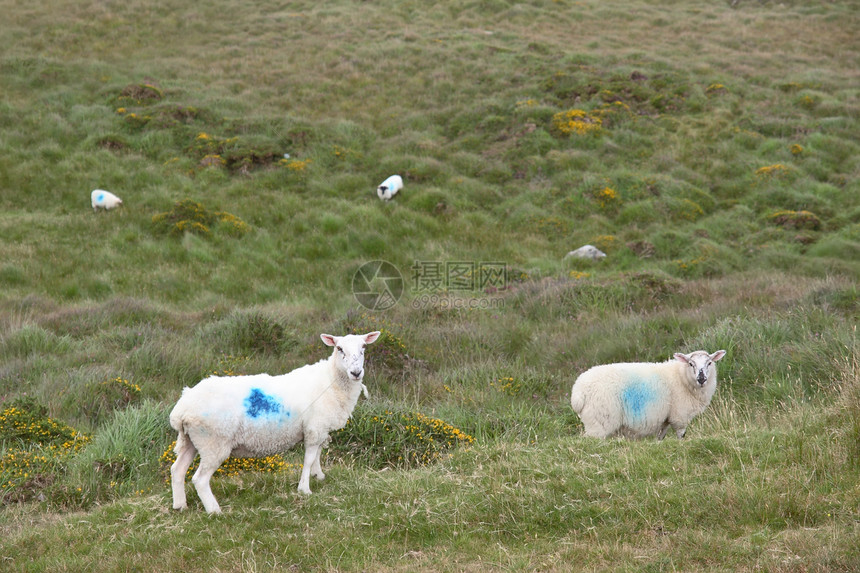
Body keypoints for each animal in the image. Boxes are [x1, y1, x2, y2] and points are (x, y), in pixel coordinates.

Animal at [168, 328, 380, 512]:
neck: (330, 381)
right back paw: (214, 510)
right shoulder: (314, 428)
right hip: (213, 442)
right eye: (339, 348)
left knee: (177, 470)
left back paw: (180, 505)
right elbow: (309, 458)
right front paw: (305, 489)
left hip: (191, 440)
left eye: (363, 347)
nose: (356, 373)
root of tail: (182, 408)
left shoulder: (320, 428)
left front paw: (318, 475)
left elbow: (318, 453)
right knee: (200, 479)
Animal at [572, 348, 724, 438]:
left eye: (709, 363)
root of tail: (578, 392)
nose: (701, 379)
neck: (681, 377)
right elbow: (681, 436)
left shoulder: (666, 419)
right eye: (691, 364)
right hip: (599, 422)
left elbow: (660, 437)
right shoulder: (679, 417)